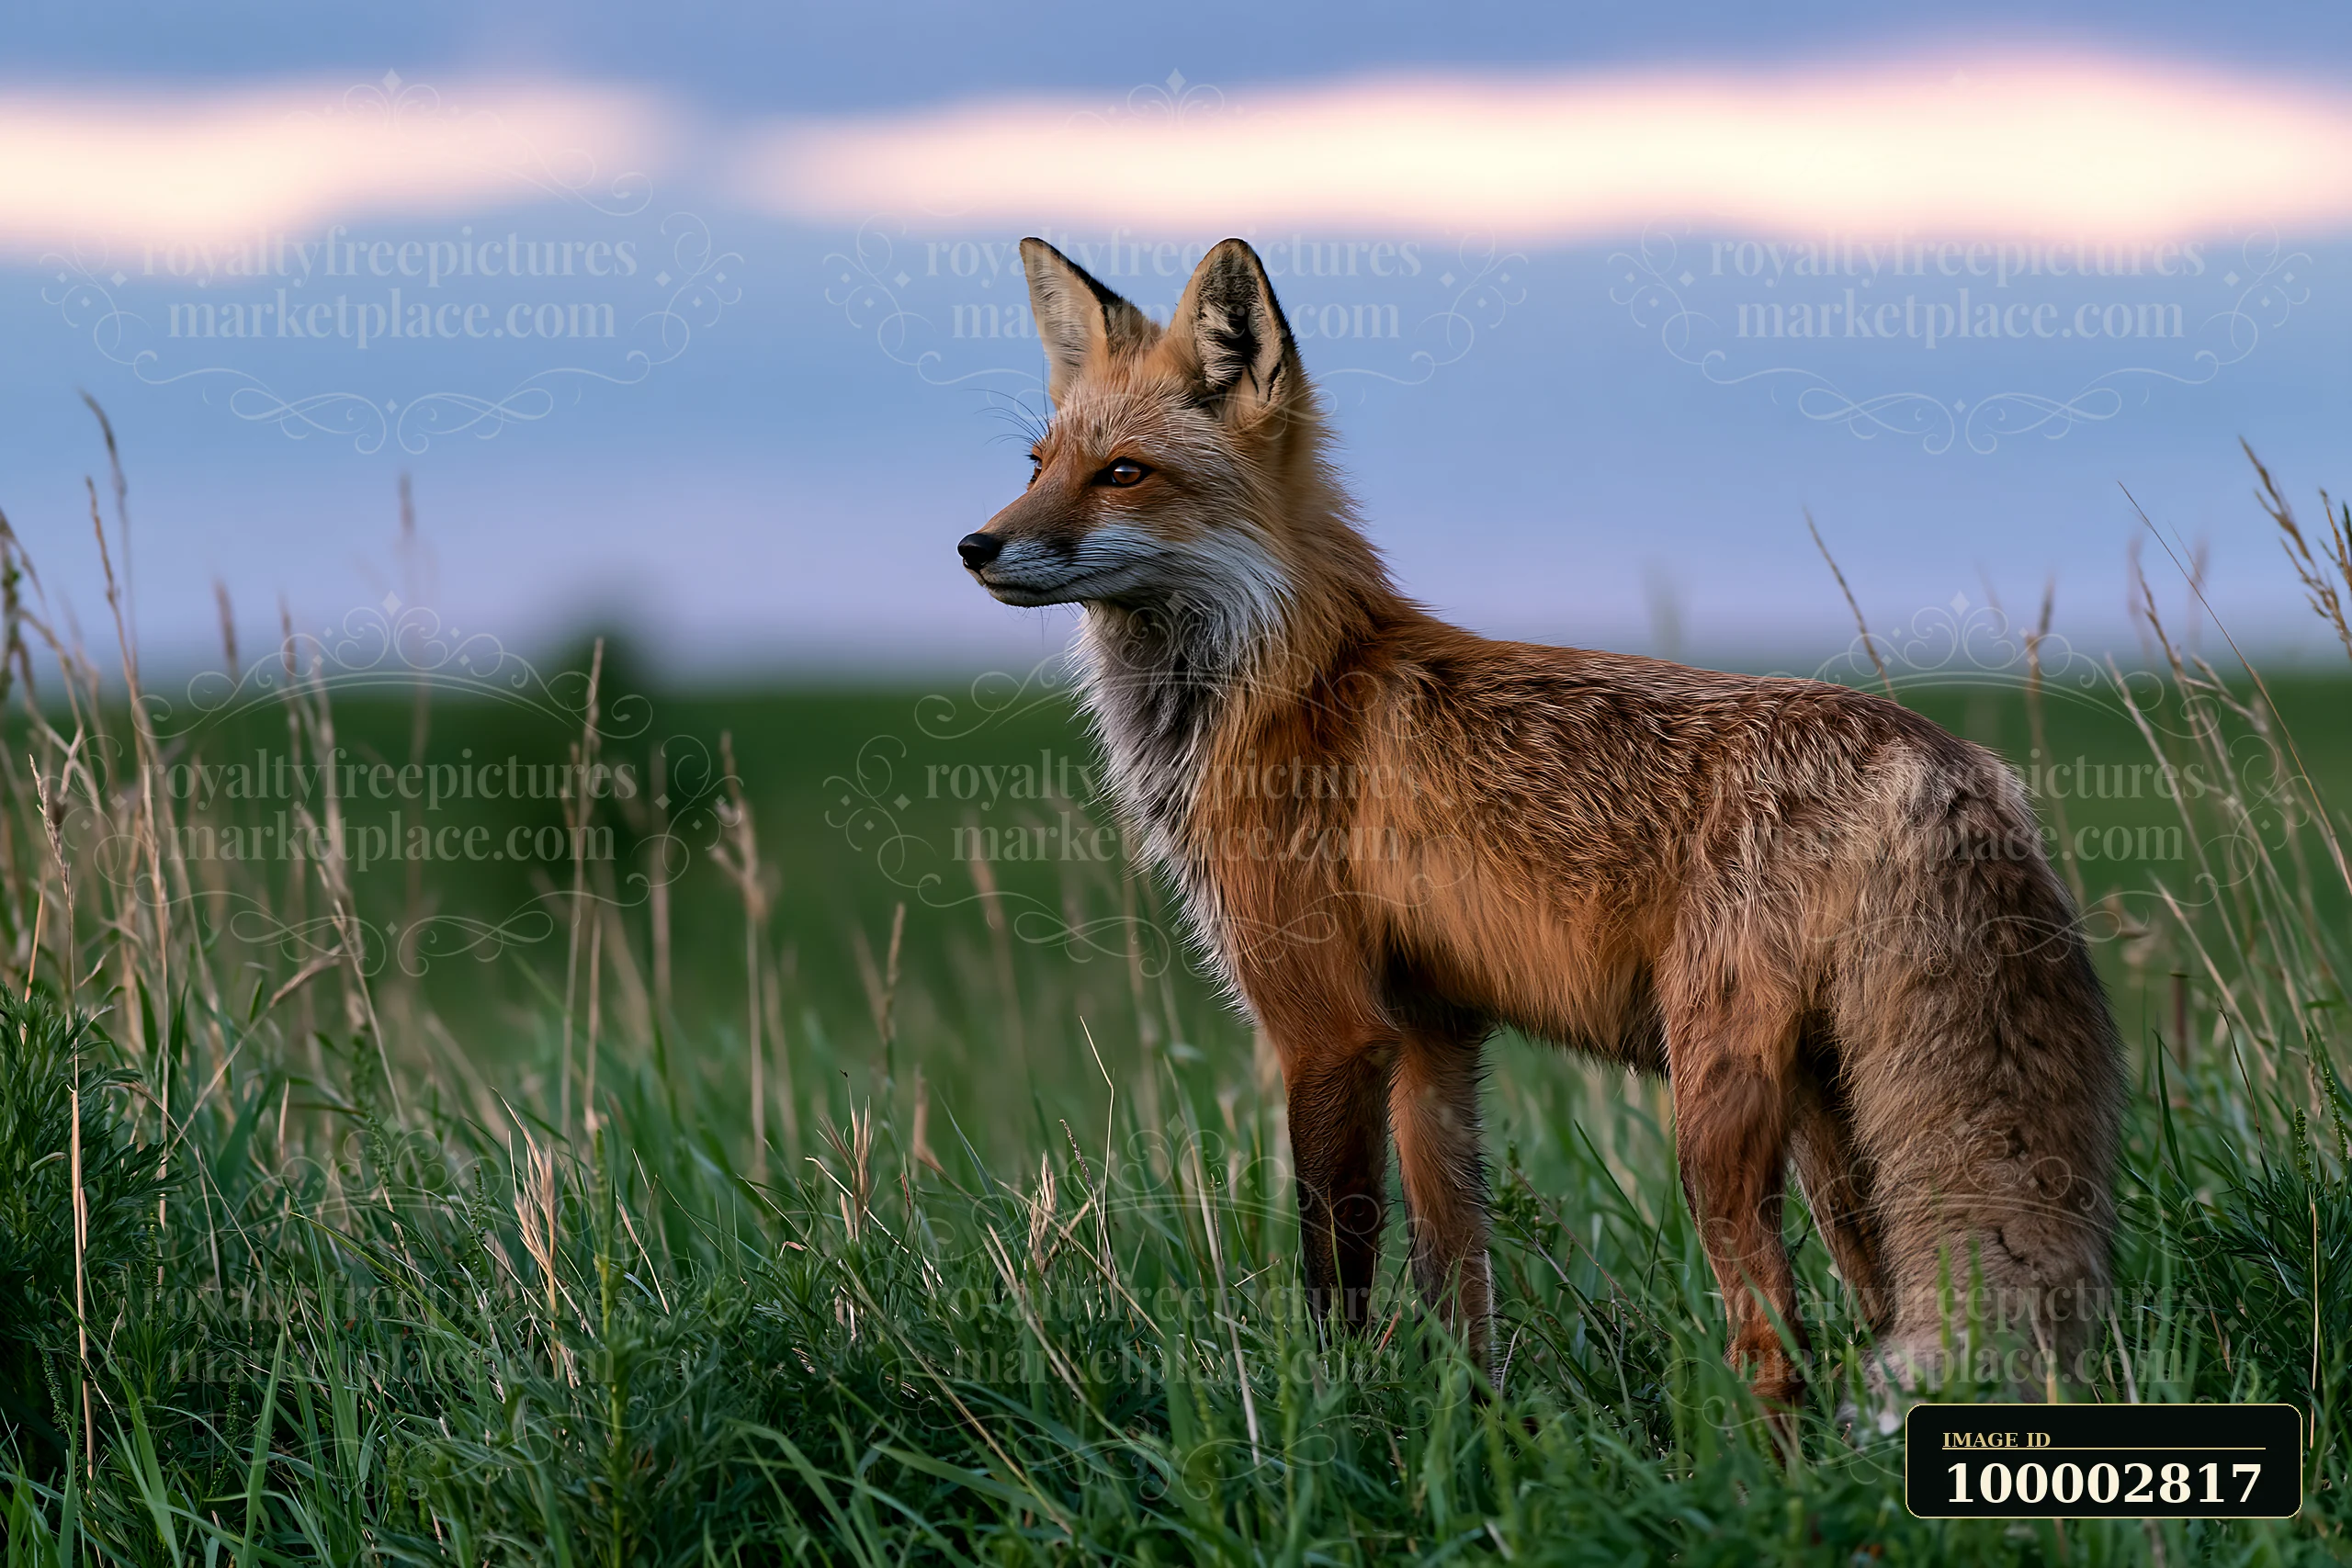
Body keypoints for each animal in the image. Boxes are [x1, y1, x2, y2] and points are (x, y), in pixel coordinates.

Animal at [956, 235, 2121, 1409]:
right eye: (1037, 463)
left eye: (1123, 473)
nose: (975, 546)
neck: (1283, 686)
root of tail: (1931, 754)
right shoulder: (1431, 1033)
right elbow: (1454, 1274)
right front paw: (1473, 1424)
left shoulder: (1325, 1026)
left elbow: (1336, 1271)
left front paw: (1331, 1414)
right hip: (1834, 1119)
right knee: (1875, 1303)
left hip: (1715, 1116)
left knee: (1773, 1341)